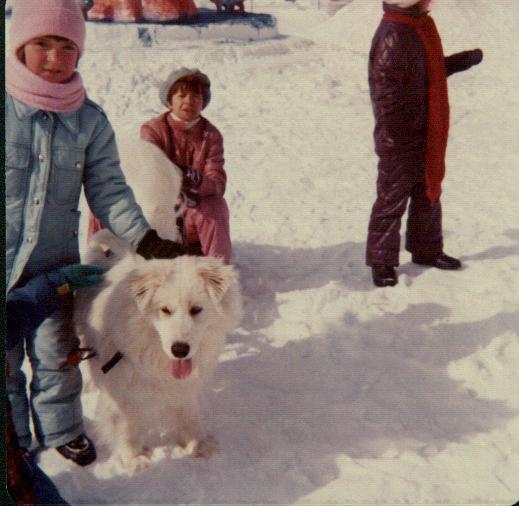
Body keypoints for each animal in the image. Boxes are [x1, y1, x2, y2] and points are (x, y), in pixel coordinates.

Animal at [75, 135, 242, 474]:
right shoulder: (124, 387)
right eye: (164, 310)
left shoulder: (185, 385)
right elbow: (128, 424)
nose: (180, 349)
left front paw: (197, 445)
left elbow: (189, 413)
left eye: (197, 309)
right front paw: (134, 459)